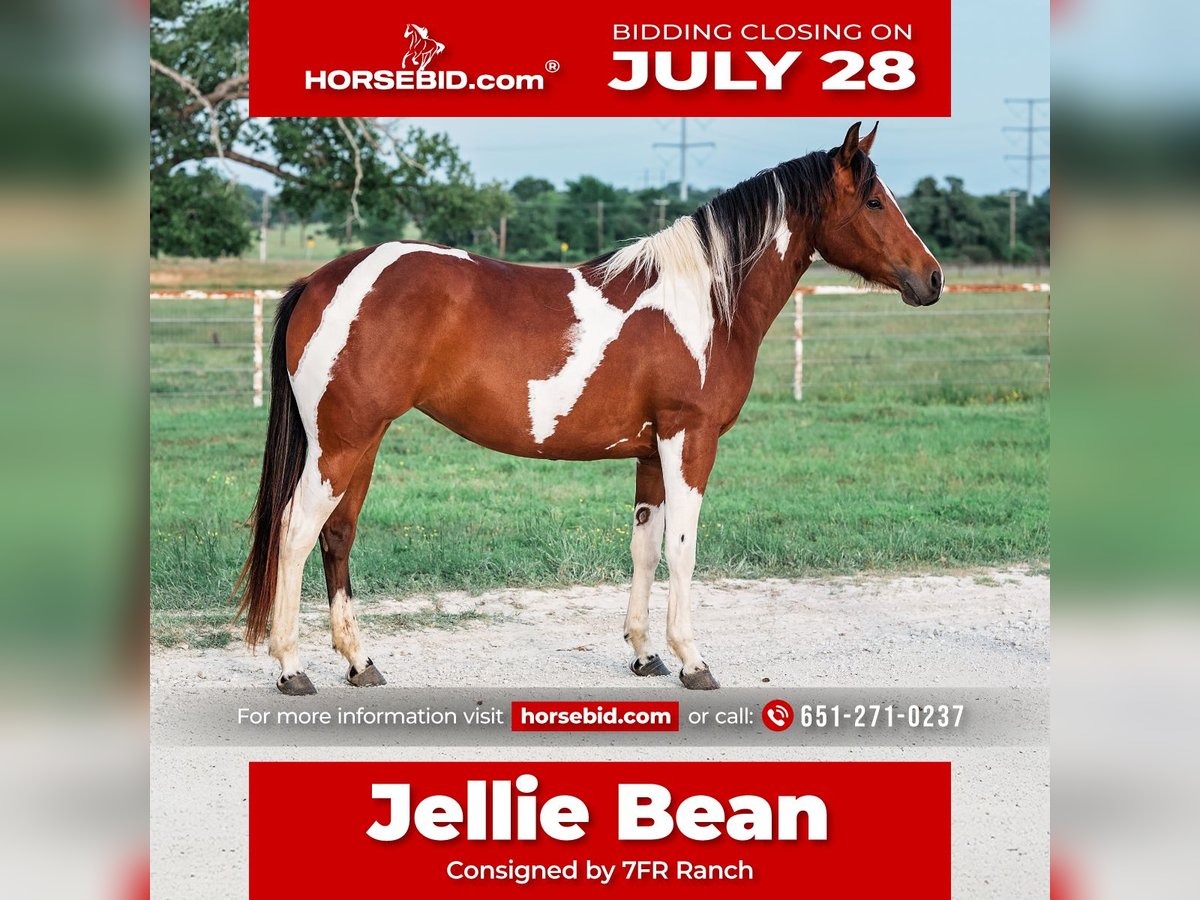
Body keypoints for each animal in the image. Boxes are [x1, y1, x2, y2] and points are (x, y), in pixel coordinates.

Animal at [234, 122, 943, 695]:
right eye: (875, 201)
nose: (932, 279)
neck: (703, 301)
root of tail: (322, 280)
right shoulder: (690, 439)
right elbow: (683, 548)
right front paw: (693, 661)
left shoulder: (652, 453)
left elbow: (645, 547)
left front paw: (646, 655)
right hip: (341, 442)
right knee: (296, 530)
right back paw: (292, 668)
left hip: (362, 440)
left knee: (337, 535)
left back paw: (360, 663)